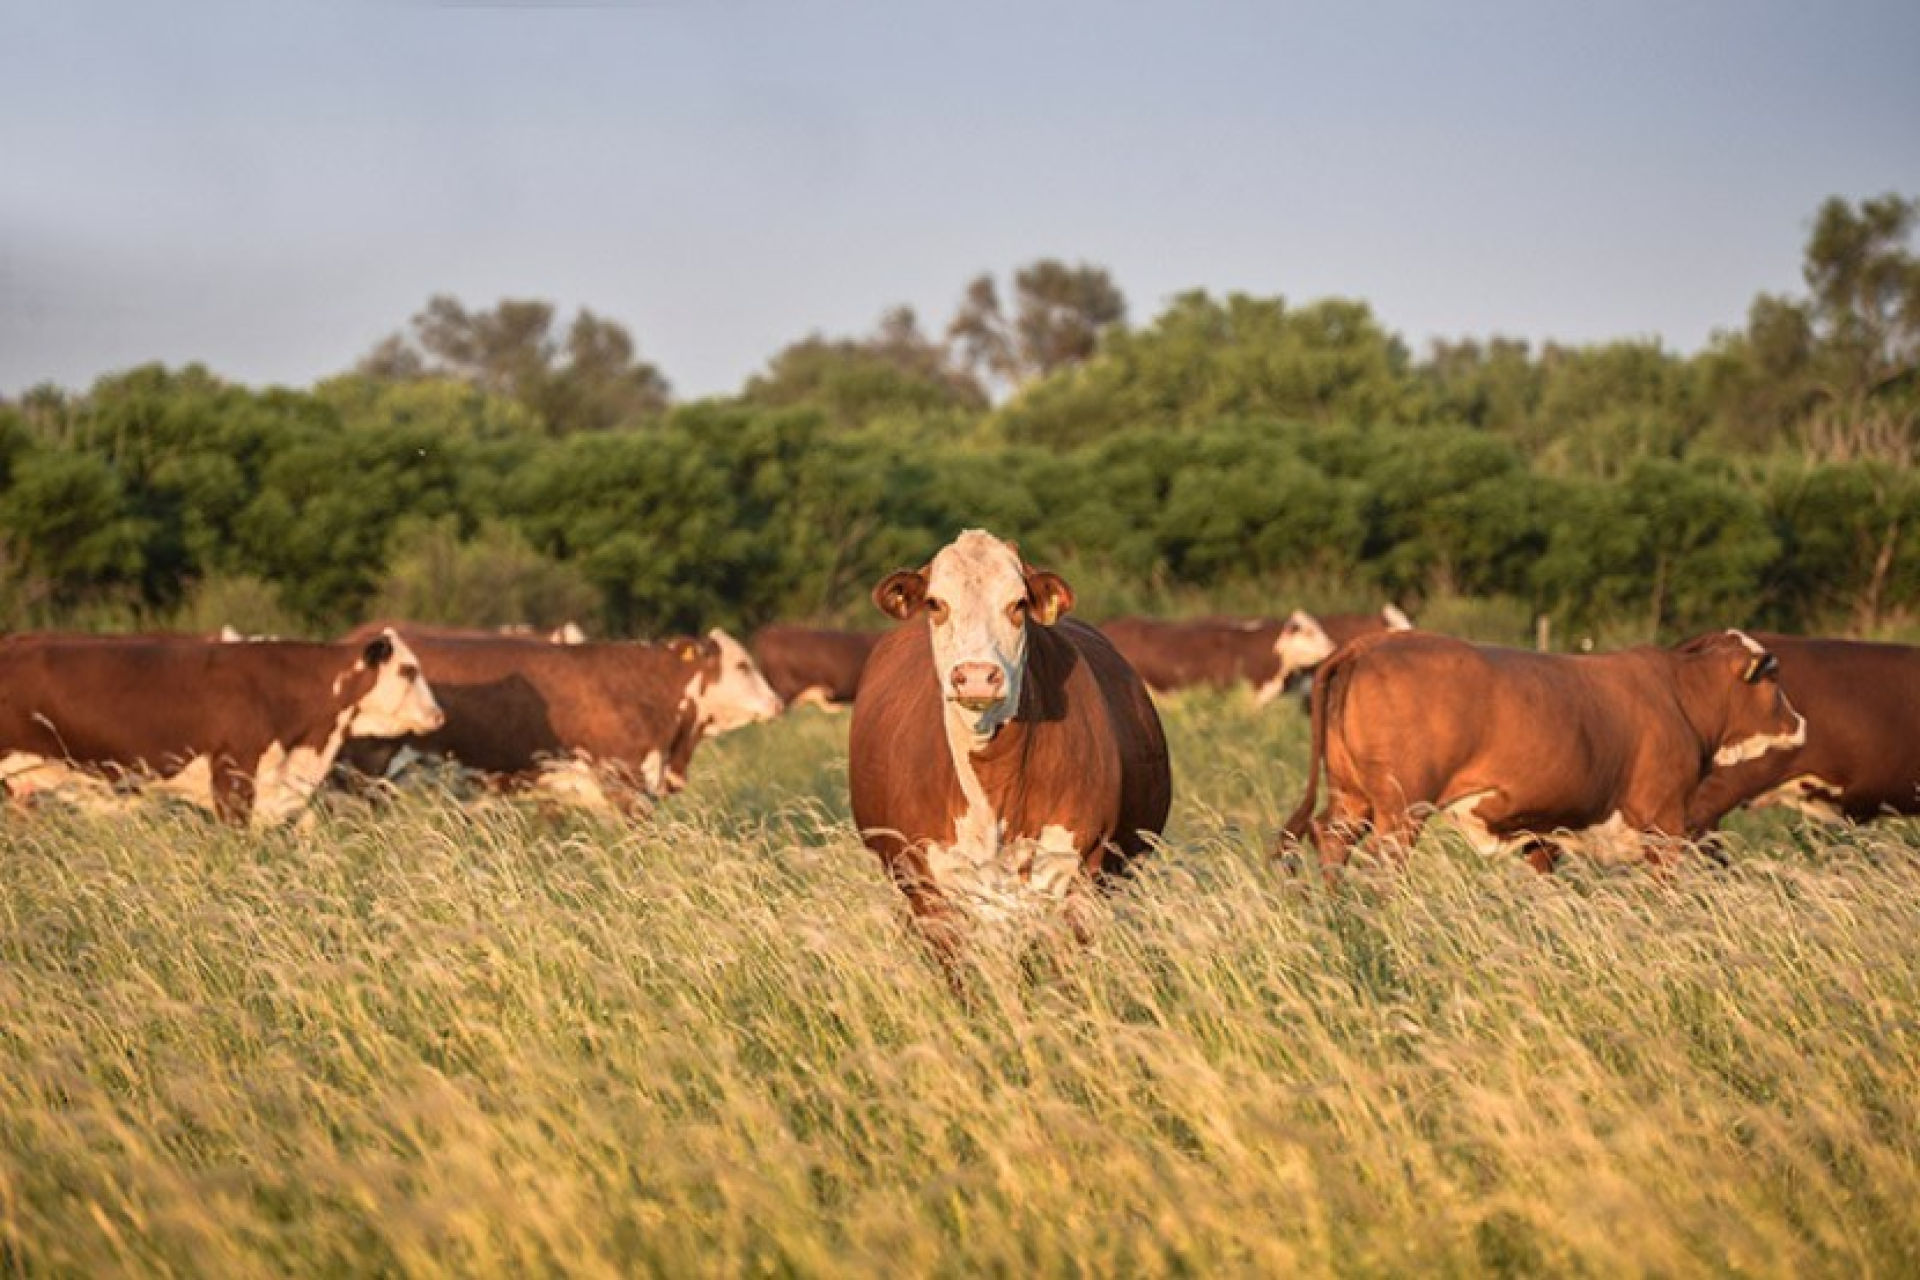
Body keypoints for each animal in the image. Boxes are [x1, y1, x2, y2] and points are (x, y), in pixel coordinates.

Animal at [1277, 629, 1806, 872]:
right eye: (1774, 679)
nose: (1800, 723)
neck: (1678, 695)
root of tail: (1371, 643)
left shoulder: (1544, 832)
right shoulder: (1665, 823)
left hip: (1352, 797)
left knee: (1331, 840)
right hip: (1401, 807)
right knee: (1381, 862)